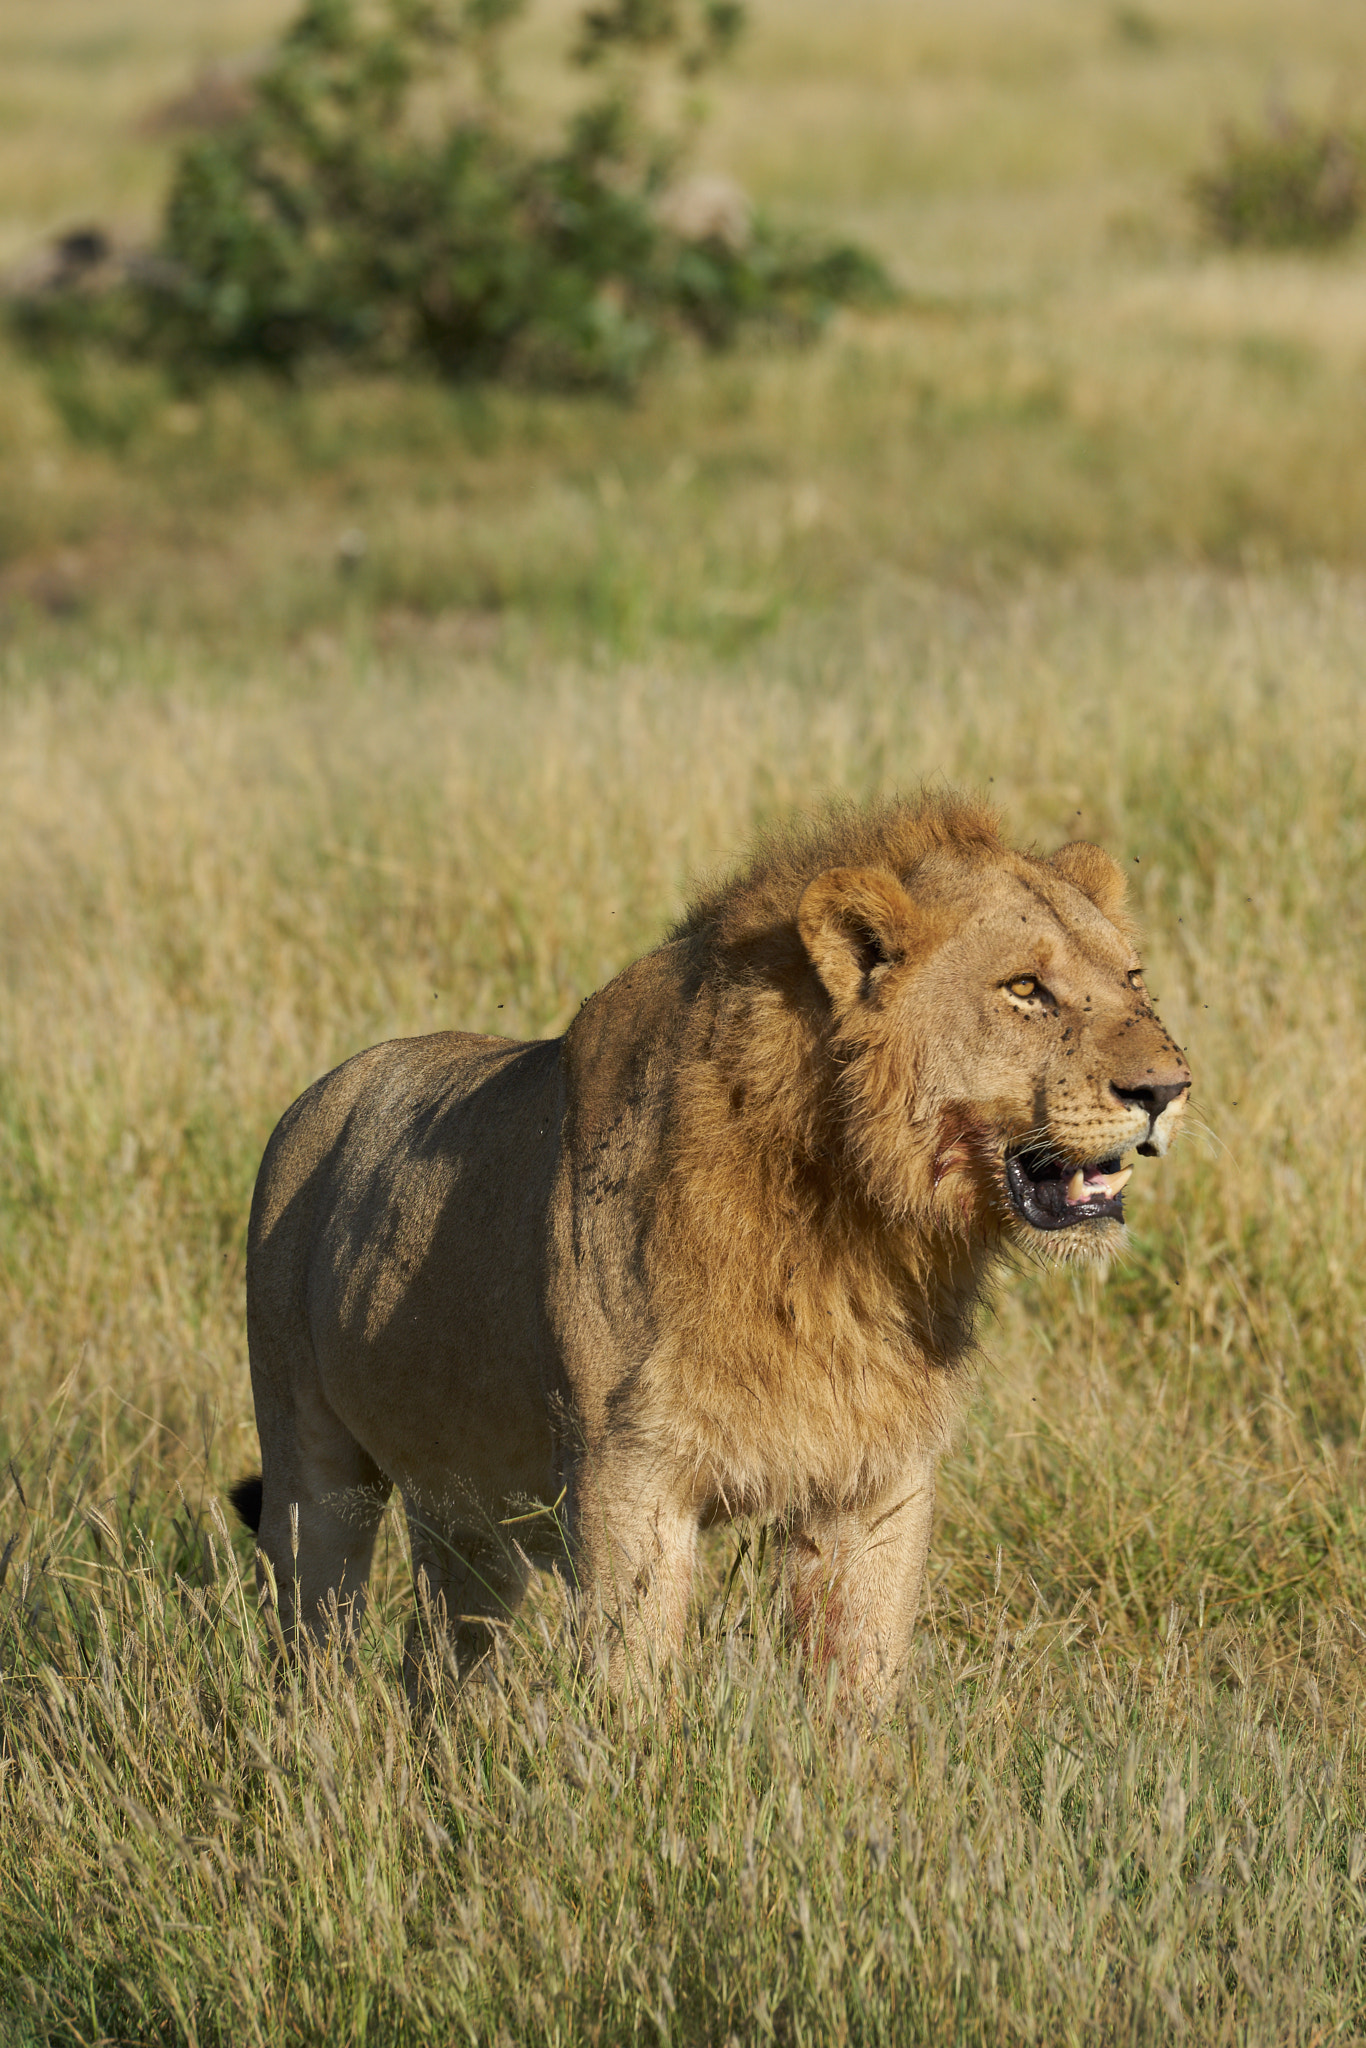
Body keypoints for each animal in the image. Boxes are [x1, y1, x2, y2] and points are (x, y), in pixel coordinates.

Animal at [229, 794, 1187, 1695]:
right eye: (1024, 989)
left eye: (1133, 977)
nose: (1168, 1089)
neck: (852, 1225)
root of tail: (318, 1092)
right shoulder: (628, 1477)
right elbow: (633, 1681)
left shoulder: (879, 1480)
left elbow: (860, 1681)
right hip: (310, 1463)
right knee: (309, 1627)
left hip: (463, 1505)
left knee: (443, 1657)